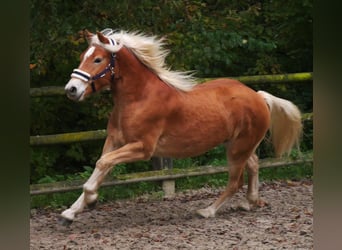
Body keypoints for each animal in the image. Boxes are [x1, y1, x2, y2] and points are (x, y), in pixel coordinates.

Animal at [61, 28, 302, 225]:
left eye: (98, 59)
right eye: (83, 57)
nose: (71, 89)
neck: (139, 98)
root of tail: (259, 96)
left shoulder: (142, 148)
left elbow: (102, 165)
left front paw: (89, 199)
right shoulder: (115, 141)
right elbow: (102, 165)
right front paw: (71, 212)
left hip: (238, 148)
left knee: (236, 181)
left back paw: (207, 211)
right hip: (237, 144)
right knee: (253, 164)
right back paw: (249, 202)